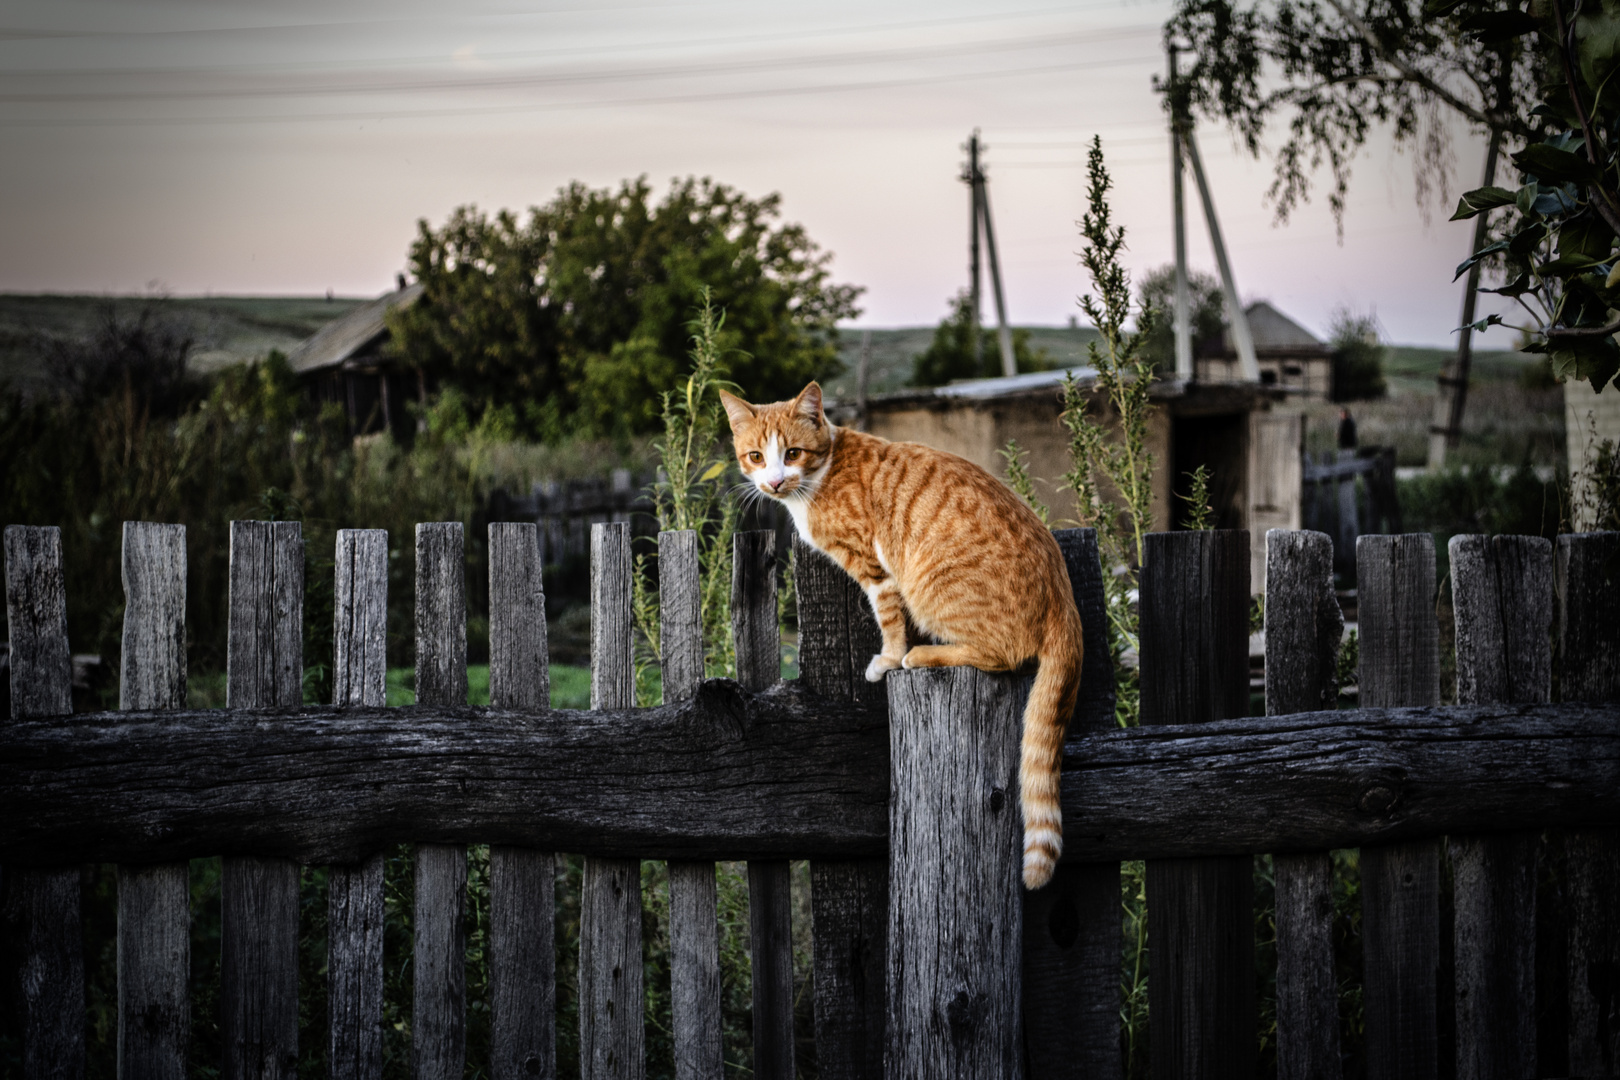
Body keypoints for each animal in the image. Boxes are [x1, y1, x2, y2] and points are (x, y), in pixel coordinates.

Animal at [719, 380, 1075, 887]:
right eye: (754, 456)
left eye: (792, 453)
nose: (774, 482)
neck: (822, 473)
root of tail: (1063, 596)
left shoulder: (873, 567)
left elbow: (888, 619)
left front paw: (888, 658)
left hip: (930, 589)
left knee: (1002, 655)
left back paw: (921, 656)